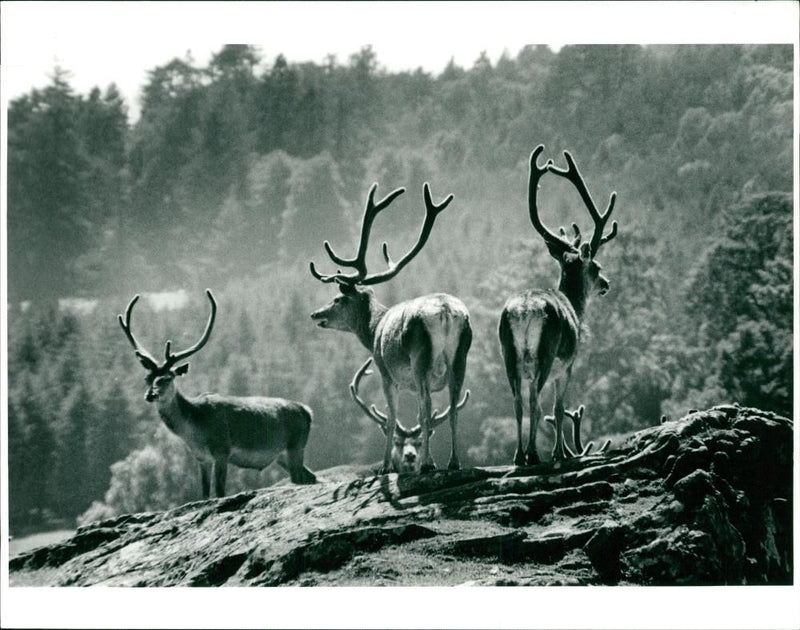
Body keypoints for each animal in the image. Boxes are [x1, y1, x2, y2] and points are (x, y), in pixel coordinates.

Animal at [118, 288, 316, 502]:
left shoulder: (222, 450)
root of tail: (307, 411)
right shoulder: (202, 458)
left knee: (301, 478)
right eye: (147, 378)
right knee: (310, 476)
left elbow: (220, 491)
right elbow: (205, 494)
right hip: (281, 456)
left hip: (296, 445)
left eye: (167, 378)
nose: (150, 395)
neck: (194, 431)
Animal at [310, 183, 472, 474]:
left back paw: (427, 464)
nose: (316, 313)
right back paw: (453, 462)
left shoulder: (385, 371)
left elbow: (392, 417)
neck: (374, 329)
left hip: (420, 357)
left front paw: (385, 467)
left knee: (426, 407)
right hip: (461, 354)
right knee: (453, 405)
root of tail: (445, 311)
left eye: (338, 299)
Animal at [500, 146, 620, 466]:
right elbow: (558, 406)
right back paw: (533, 454)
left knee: (517, 400)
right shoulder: (568, 363)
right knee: (535, 401)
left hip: (508, 354)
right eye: (596, 266)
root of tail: (525, 311)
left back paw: (519, 455)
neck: (575, 308)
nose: (607, 283)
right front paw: (561, 453)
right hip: (546, 351)